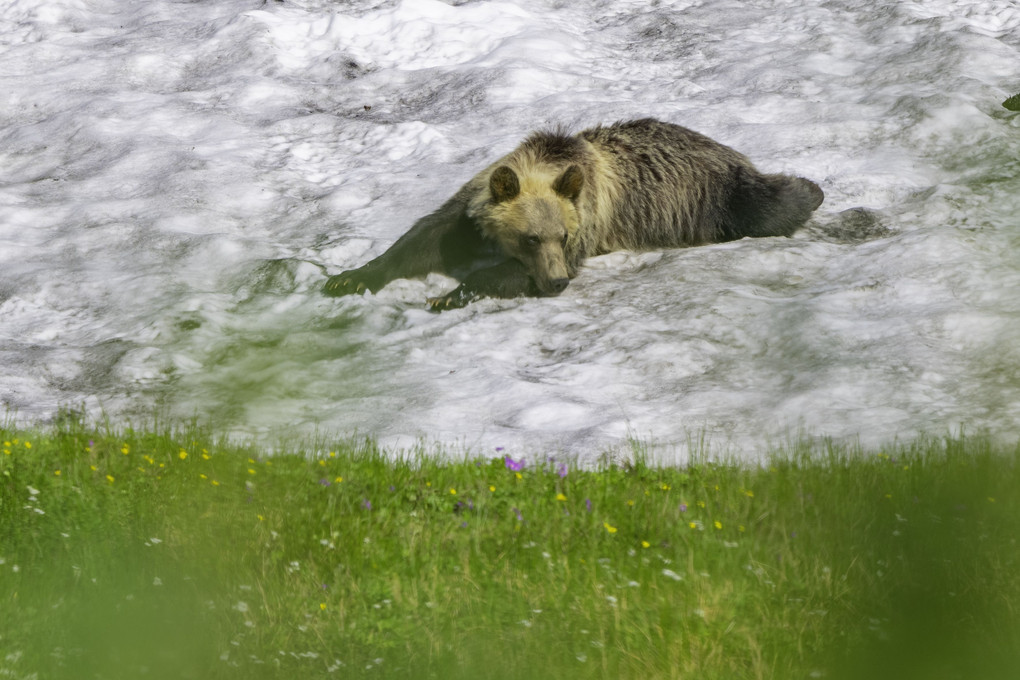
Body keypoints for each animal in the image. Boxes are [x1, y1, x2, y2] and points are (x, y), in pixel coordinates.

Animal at [322, 118, 824, 309]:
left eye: (560, 237)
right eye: (530, 237)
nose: (558, 282)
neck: (544, 161)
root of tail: (728, 149)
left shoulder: (587, 219)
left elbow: (506, 274)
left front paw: (450, 295)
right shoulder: (469, 211)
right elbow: (424, 239)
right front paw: (347, 278)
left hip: (711, 195)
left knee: (765, 206)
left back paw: (811, 187)